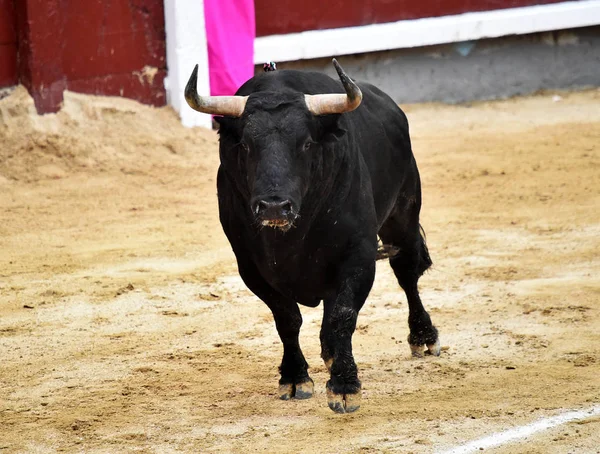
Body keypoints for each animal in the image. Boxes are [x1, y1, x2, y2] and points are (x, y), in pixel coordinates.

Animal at [184, 61, 440, 414]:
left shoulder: (357, 256)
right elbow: (287, 319)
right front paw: (295, 378)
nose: (273, 206)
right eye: (246, 146)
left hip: (404, 214)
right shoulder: (250, 267)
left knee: (407, 273)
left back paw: (424, 337)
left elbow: (343, 316)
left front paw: (345, 386)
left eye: (306, 144)